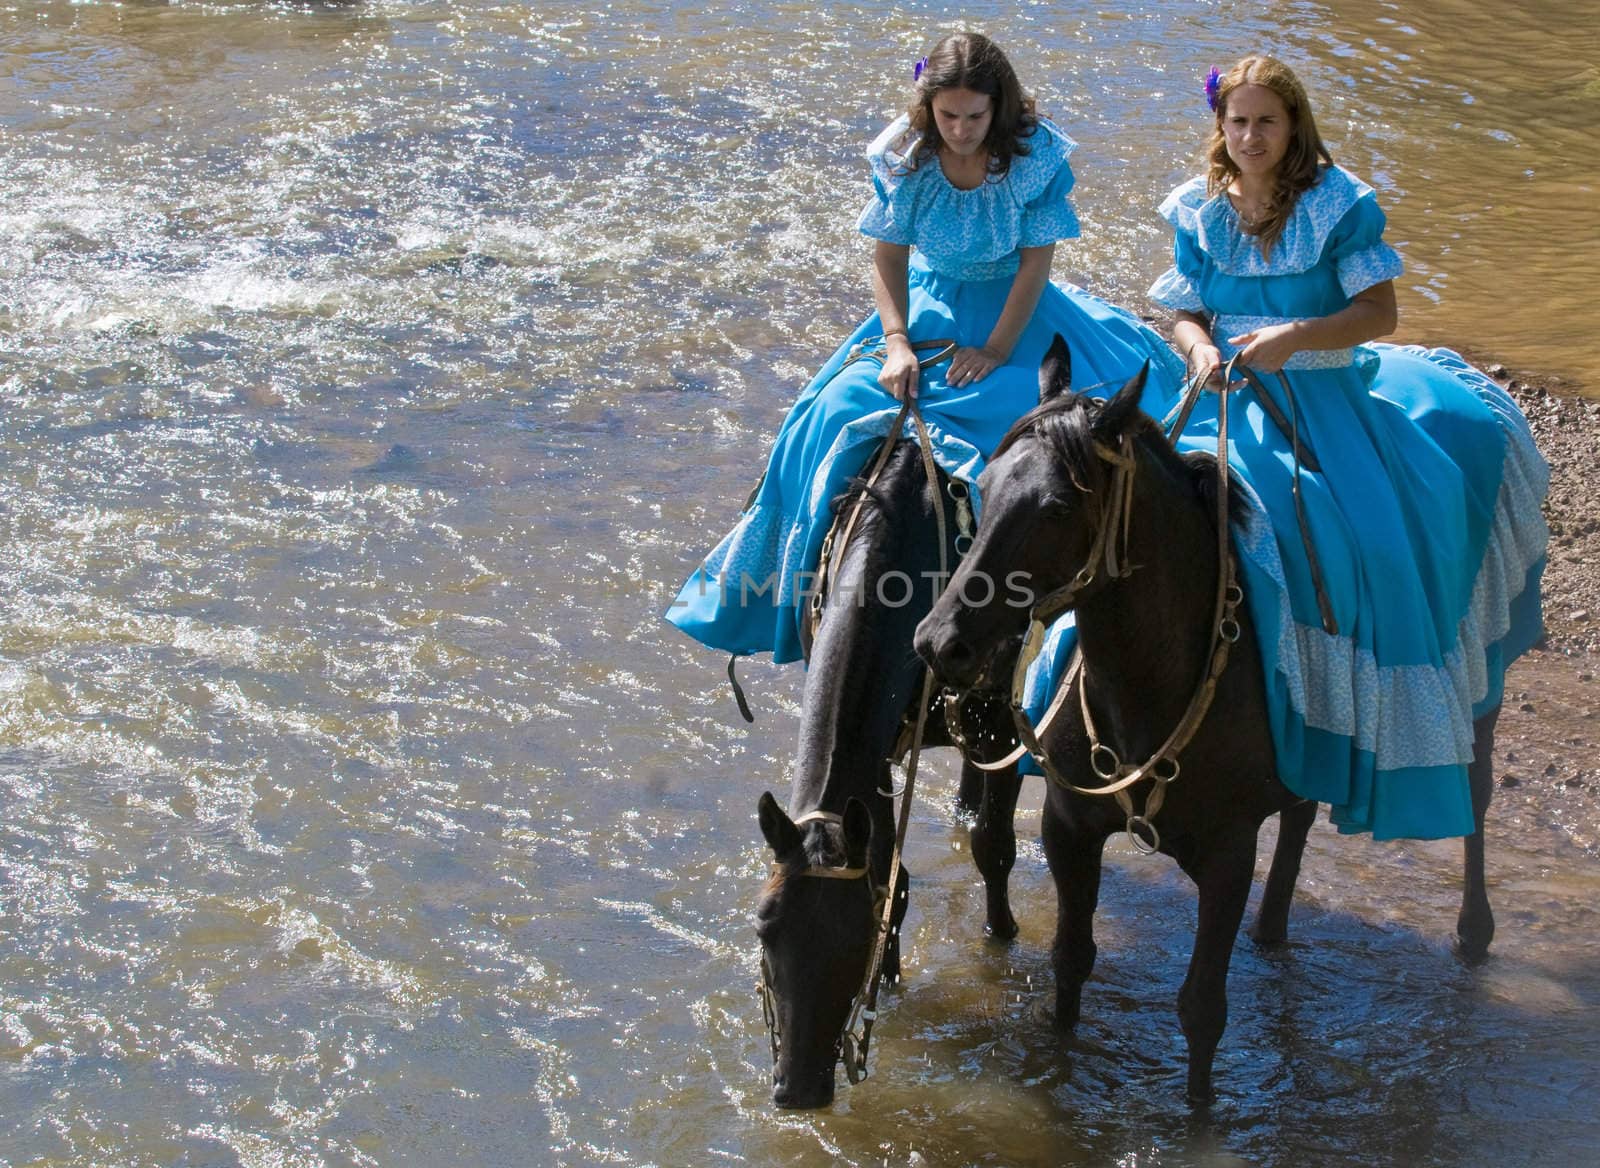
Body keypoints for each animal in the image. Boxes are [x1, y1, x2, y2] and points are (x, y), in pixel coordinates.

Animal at [752, 432, 1024, 1107]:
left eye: (853, 938)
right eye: (765, 931)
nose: (798, 1089)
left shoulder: (1004, 720)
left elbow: (994, 846)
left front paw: (1000, 935)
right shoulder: (870, 757)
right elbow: (891, 875)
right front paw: (891, 979)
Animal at [915, 339, 1497, 1100]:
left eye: (1058, 505)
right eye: (983, 484)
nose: (940, 641)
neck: (1152, 682)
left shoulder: (1227, 855)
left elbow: (1201, 1008)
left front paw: (1198, 1114)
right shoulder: (1070, 828)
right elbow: (1071, 958)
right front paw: (1059, 1071)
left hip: (1485, 687)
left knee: (1477, 798)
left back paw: (1474, 930)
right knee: (1302, 812)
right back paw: (1273, 928)